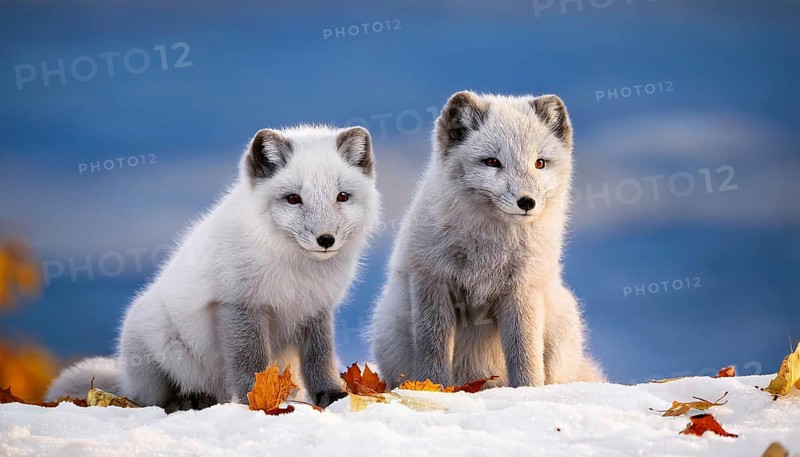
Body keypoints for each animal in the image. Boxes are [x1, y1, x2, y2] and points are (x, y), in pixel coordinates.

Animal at [47, 125, 381, 410]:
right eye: (293, 199)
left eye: (342, 196)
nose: (326, 239)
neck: (297, 269)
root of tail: (126, 381)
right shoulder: (238, 305)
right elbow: (250, 362)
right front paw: (258, 400)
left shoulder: (316, 308)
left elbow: (319, 358)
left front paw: (330, 394)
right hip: (156, 347)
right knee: (152, 401)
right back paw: (189, 400)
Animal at [369, 91, 604, 389]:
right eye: (492, 162)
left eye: (539, 163)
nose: (527, 202)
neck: (489, 250)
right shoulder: (431, 284)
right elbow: (433, 351)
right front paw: (434, 388)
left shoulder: (522, 290)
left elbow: (524, 353)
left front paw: (527, 390)